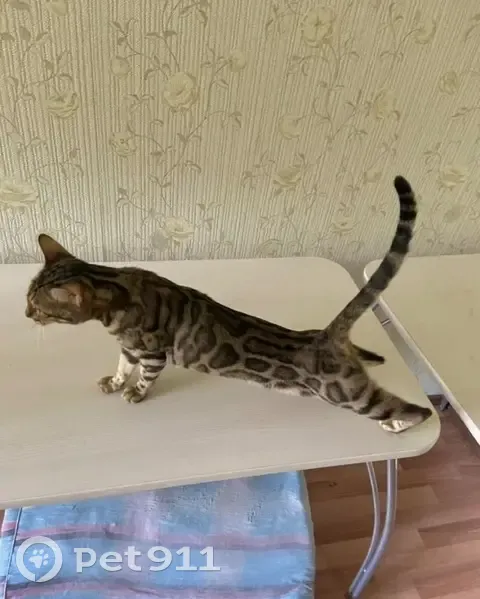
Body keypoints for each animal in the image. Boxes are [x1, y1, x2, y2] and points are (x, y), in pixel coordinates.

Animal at [25, 175, 432, 433]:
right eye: (28, 299)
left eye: (38, 307)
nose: (26, 314)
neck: (117, 291)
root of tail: (326, 337)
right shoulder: (128, 348)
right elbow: (123, 367)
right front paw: (113, 381)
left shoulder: (153, 353)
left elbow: (143, 377)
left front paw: (135, 393)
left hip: (350, 396)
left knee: (419, 410)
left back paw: (398, 423)